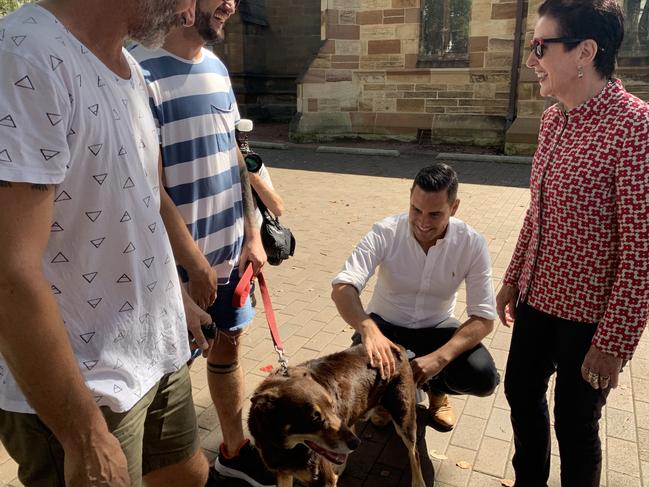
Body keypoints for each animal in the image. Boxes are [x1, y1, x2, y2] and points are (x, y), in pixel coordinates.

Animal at [247, 344, 426, 487]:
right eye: (314, 418)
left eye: (332, 406)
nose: (356, 444)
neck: (284, 448)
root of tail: (395, 346)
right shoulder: (282, 473)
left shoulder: (323, 479)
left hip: (404, 418)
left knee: (414, 452)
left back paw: (418, 482)